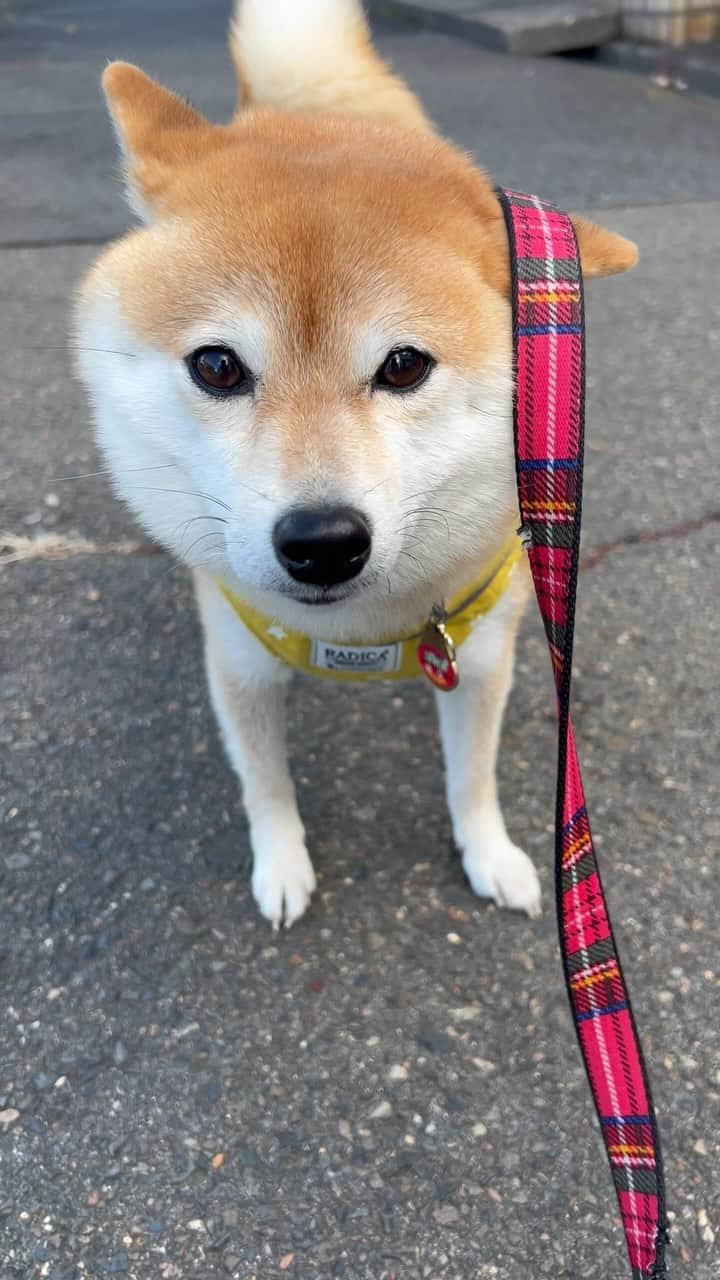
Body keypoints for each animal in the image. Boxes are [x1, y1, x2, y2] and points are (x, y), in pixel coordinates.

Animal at [73, 0, 632, 926]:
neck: (361, 635)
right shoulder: (240, 662)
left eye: (403, 366)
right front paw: (281, 863)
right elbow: (264, 783)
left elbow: (472, 775)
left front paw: (489, 853)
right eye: (217, 366)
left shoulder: (483, 657)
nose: (322, 540)